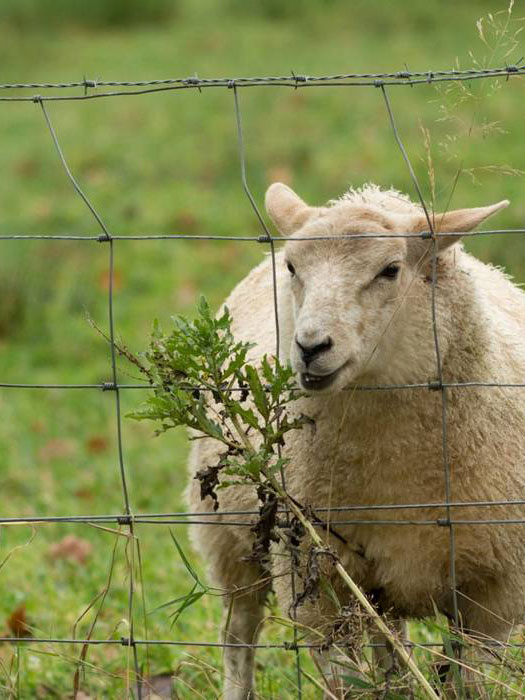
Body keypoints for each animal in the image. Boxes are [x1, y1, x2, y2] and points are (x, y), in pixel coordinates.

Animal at [185, 183, 524, 696]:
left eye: (391, 270)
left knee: (391, 650)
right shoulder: (312, 582)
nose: (310, 347)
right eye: (292, 267)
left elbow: (468, 682)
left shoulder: (495, 597)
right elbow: (347, 682)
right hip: (227, 537)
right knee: (238, 637)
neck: (399, 470)